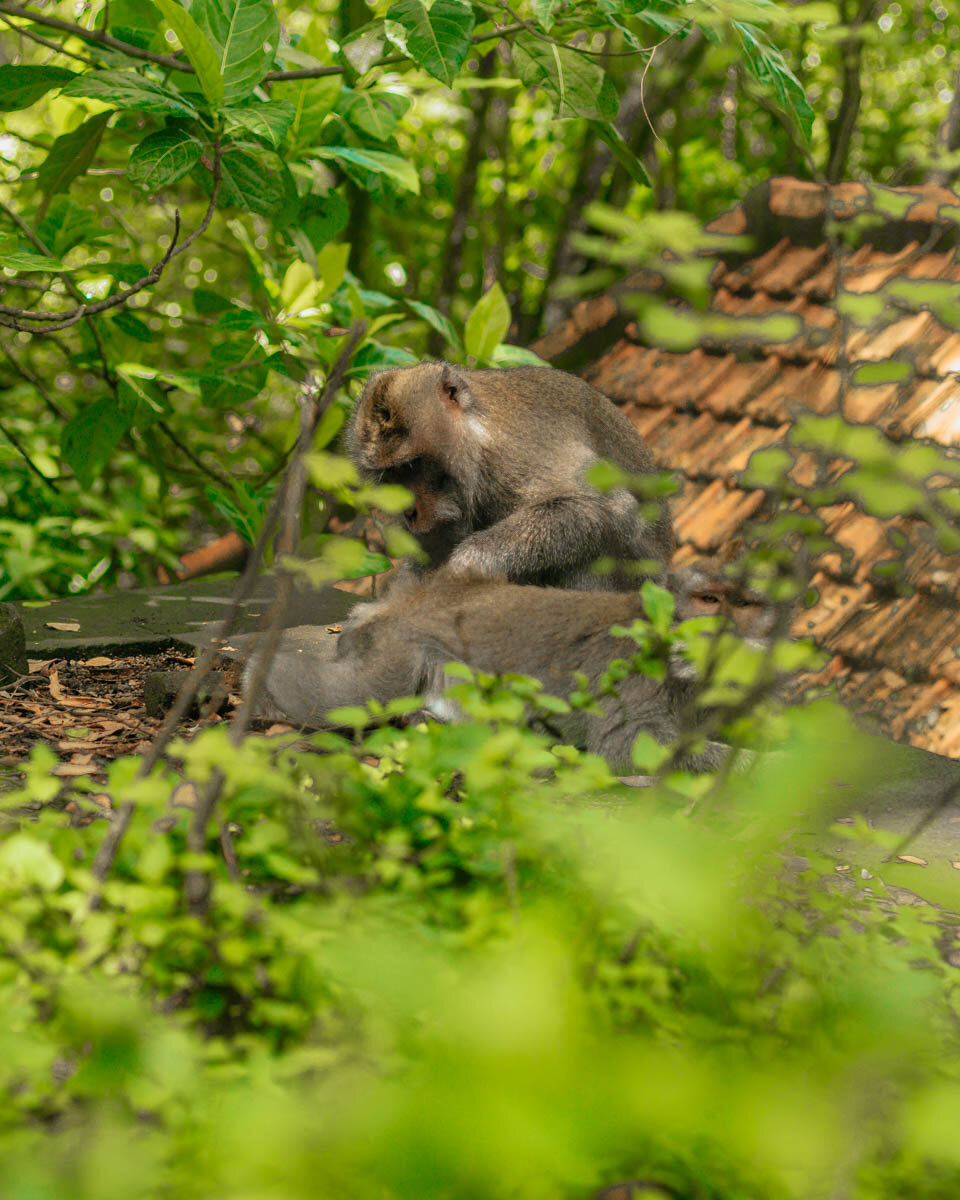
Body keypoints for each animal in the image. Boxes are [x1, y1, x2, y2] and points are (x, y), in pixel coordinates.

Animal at [348, 364, 676, 590]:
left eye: (411, 467)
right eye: (390, 476)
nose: (409, 512)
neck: (477, 433)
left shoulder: (517, 454)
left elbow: (610, 505)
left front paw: (467, 565)